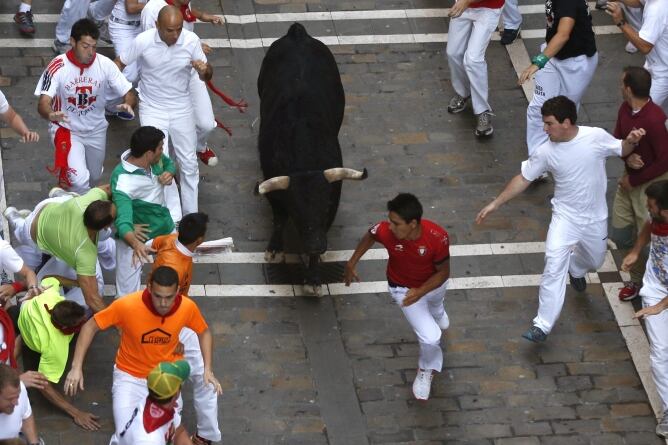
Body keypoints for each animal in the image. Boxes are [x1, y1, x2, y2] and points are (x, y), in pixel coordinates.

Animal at [256, 23, 370, 294]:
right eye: (297, 210)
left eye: (326, 207)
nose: (317, 244)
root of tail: (298, 33)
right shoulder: (274, 188)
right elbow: (279, 219)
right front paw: (274, 249)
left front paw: (313, 277)